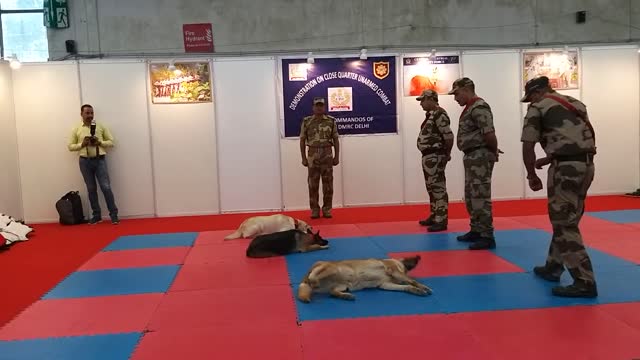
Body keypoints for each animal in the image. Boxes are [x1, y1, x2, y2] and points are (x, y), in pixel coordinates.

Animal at [298, 255, 432, 302]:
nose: (418, 257)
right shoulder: (394, 270)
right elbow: (411, 281)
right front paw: (423, 287)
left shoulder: (385, 285)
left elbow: (407, 286)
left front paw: (416, 290)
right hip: (332, 269)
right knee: (313, 276)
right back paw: (314, 280)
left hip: (343, 285)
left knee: (332, 292)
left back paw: (345, 296)